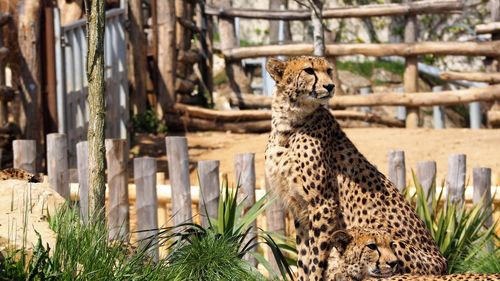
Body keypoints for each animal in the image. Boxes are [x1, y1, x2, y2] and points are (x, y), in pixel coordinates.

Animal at [264, 55, 448, 280]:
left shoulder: (323, 204)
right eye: (309, 70)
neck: (288, 122)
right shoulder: (300, 208)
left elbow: (315, 257)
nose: (330, 86)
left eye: (329, 71)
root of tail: (444, 264)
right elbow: (304, 259)